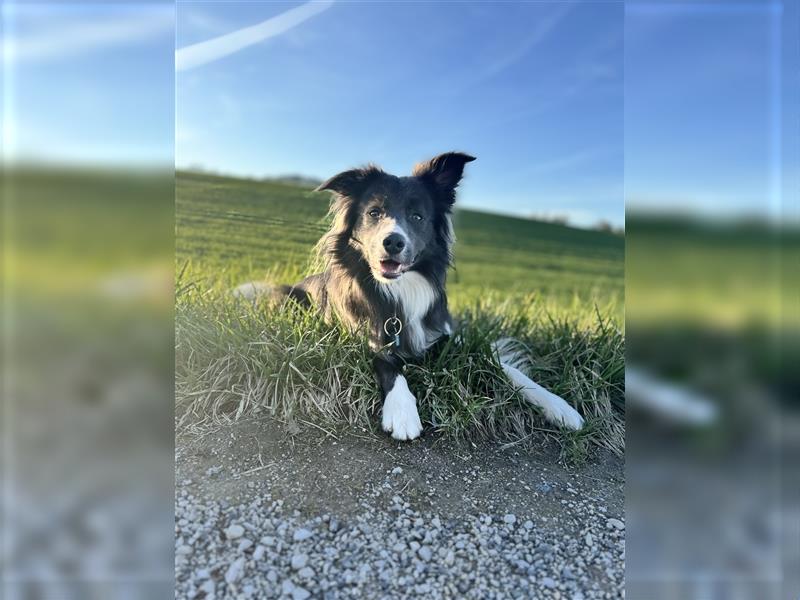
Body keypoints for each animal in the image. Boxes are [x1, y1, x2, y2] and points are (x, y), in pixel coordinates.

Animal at [234, 152, 584, 438]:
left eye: (417, 216)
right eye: (374, 213)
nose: (393, 241)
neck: (400, 288)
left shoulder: (446, 336)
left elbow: (502, 364)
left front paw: (558, 405)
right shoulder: (367, 337)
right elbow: (389, 364)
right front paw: (402, 412)